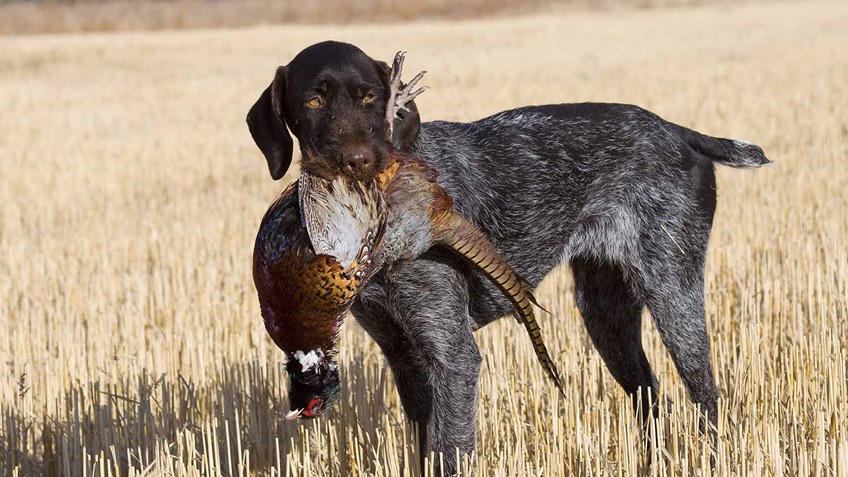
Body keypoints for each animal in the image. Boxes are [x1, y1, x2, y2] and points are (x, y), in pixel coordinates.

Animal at [245, 39, 768, 470]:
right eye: (313, 100)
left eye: (369, 97)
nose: (358, 162)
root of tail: (679, 131)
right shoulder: (404, 356)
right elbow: (425, 448)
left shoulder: (452, 356)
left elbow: (450, 452)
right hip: (606, 314)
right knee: (652, 399)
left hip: (673, 296)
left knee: (707, 398)